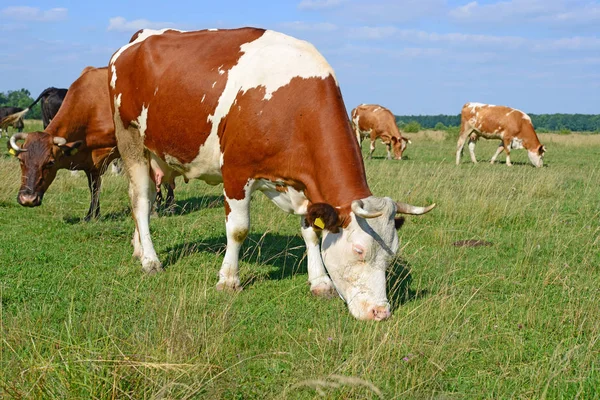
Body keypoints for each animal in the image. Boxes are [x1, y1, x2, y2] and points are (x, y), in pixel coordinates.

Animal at [109, 27, 436, 322]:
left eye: (391, 256)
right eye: (359, 251)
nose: (380, 312)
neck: (294, 107)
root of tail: (140, 37)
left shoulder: (305, 185)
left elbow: (312, 231)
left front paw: (320, 282)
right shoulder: (237, 173)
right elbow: (238, 230)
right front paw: (229, 280)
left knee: (140, 198)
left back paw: (138, 248)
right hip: (131, 141)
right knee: (141, 202)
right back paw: (150, 260)